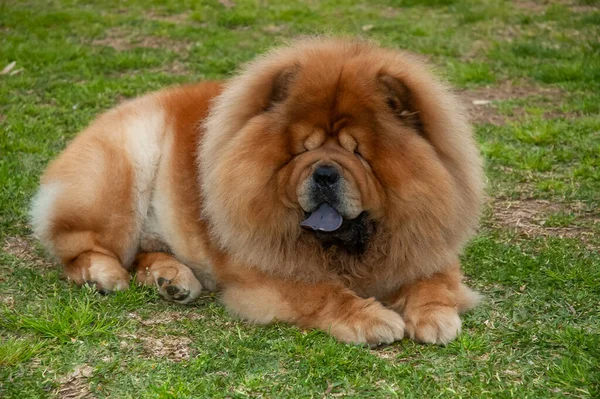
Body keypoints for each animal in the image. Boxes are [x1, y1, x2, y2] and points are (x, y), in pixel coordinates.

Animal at [30, 39, 486, 348]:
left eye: (358, 153)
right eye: (303, 149)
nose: (324, 172)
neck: (349, 248)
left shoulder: (425, 239)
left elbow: (435, 279)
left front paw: (435, 315)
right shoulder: (265, 271)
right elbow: (320, 291)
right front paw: (371, 318)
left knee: (146, 251)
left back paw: (172, 279)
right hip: (119, 179)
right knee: (79, 248)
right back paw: (107, 274)